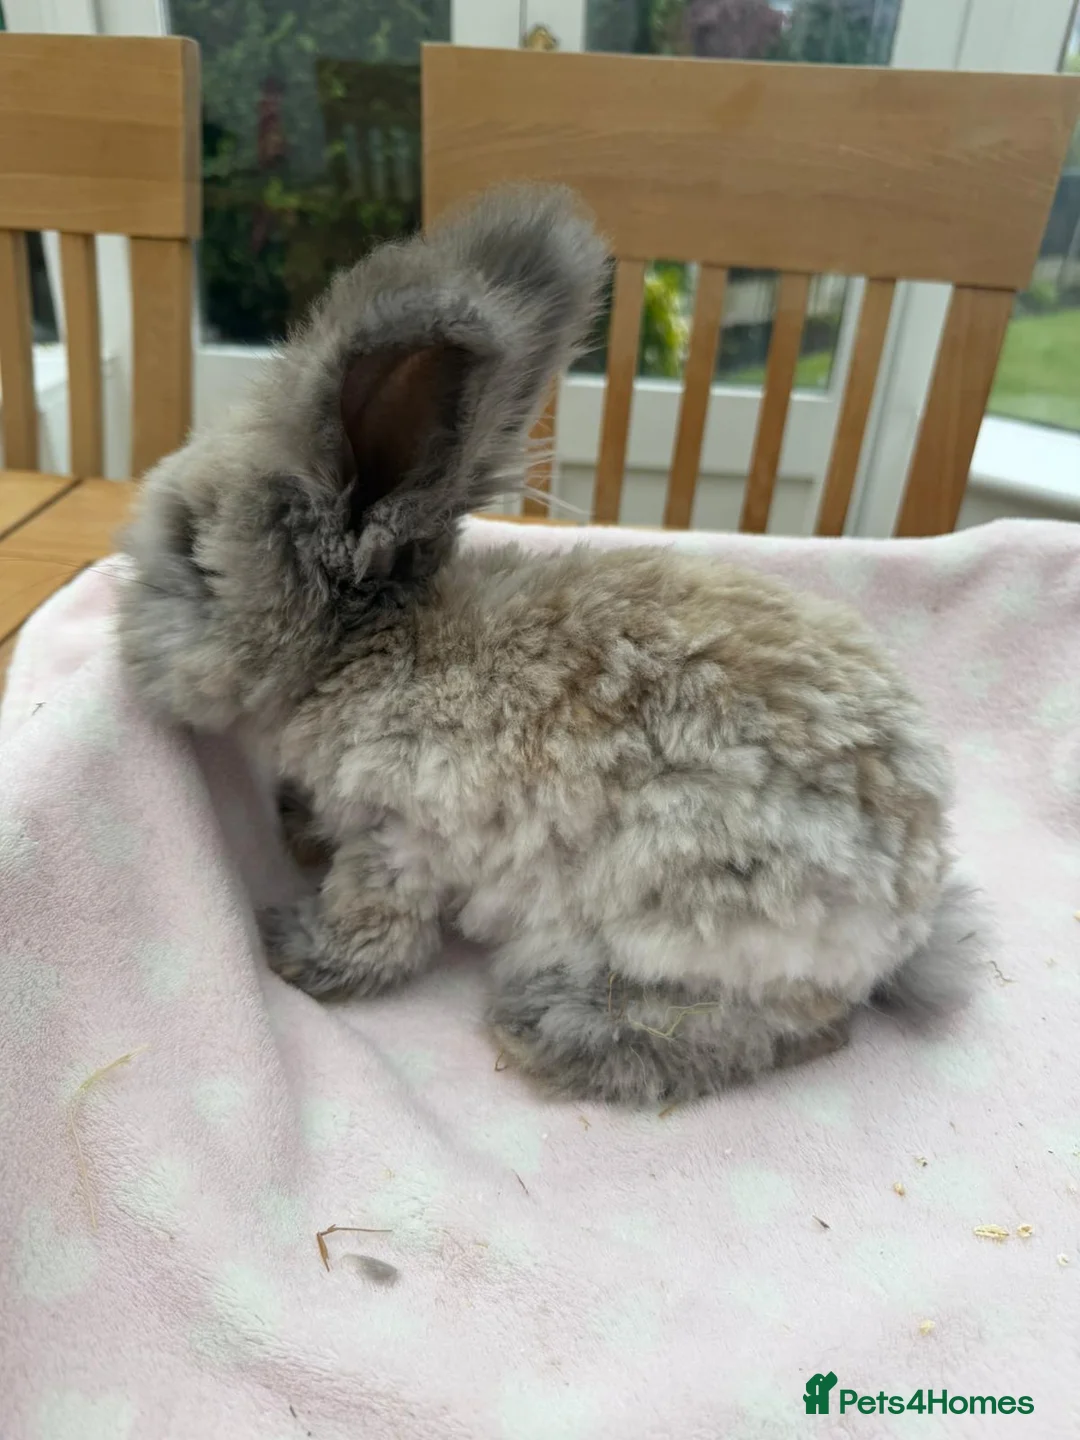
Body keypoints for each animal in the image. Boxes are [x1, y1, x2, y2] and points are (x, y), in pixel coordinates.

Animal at [117, 184, 981, 1105]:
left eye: (189, 551)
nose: (121, 637)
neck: (370, 648)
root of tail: (911, 908)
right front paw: (295, 830)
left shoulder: (402, 835)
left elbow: (373, 928)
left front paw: (291, 948)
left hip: (694, 923)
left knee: (800, 1025)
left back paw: (563, 1029)